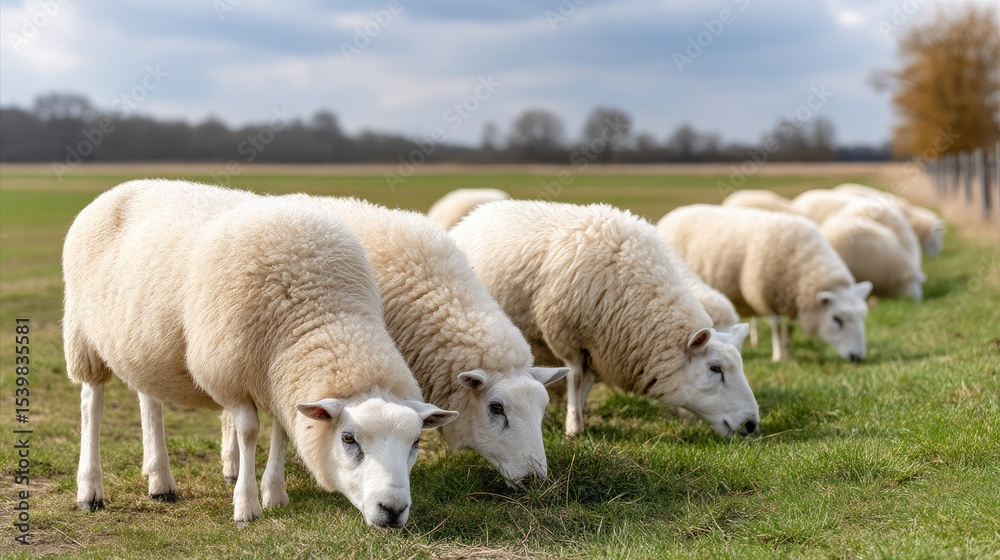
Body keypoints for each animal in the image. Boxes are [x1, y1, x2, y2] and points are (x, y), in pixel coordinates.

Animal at [63, 180, 457, 528]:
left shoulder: (280, 379)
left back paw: (160, 482)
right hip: (82, 335)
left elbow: (281, 431)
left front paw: (275, 494)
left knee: (149, 400)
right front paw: (247, 506)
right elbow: (250, 432)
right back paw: (91, 491)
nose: (392, 509)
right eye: (348, 439)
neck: (322, 313)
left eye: (416, 442)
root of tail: (122, 187)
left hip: (142, 345)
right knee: (91, 402)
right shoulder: (232, 376)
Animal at [450, 200, 759, 439]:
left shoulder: (602, 346)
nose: (752, 423)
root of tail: (478, 212)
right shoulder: (570, 337)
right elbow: (575, 378)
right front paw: (574, 427)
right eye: (715, 369)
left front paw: (580, 413)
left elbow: (586, 383)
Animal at [656, 205, 872, 363]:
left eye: (863, 316)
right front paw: (778, 356)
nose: (856, 357)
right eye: (837, 319)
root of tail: (673, 213)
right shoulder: (767, 296)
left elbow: (789, 329)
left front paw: (788, 354)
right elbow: (776, 327)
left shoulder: (792, 303)